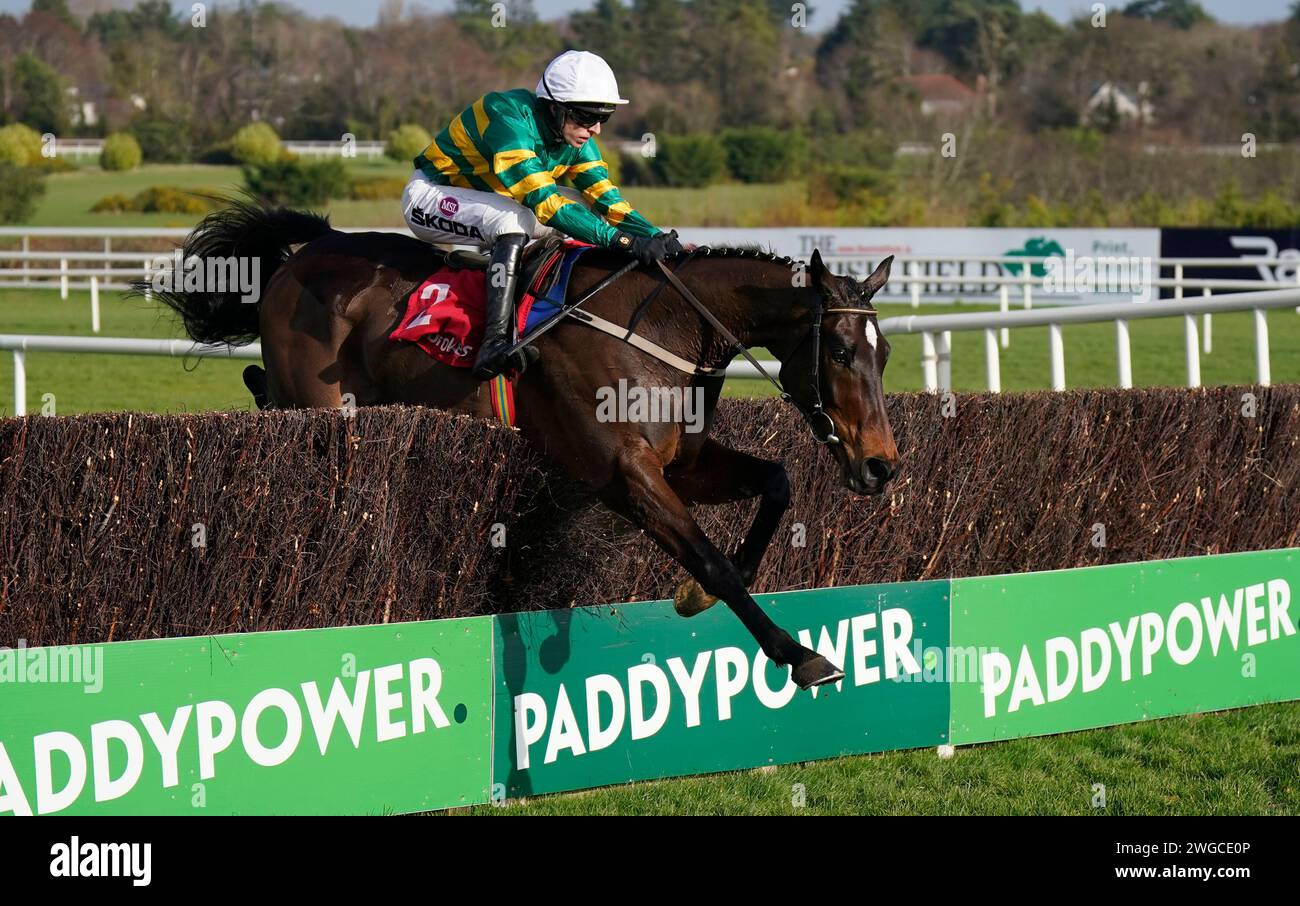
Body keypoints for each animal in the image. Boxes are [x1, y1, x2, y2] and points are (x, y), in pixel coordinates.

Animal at [149, 197, 894, 691]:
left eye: (884, 355)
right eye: (843, 353)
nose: (881, 466)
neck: (665, 329)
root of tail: (313, 248)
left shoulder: (681, 462)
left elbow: (776, 483)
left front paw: (695, 597)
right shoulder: (622, 473)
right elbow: (710, 558)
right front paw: (797, 653)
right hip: (320, 400)